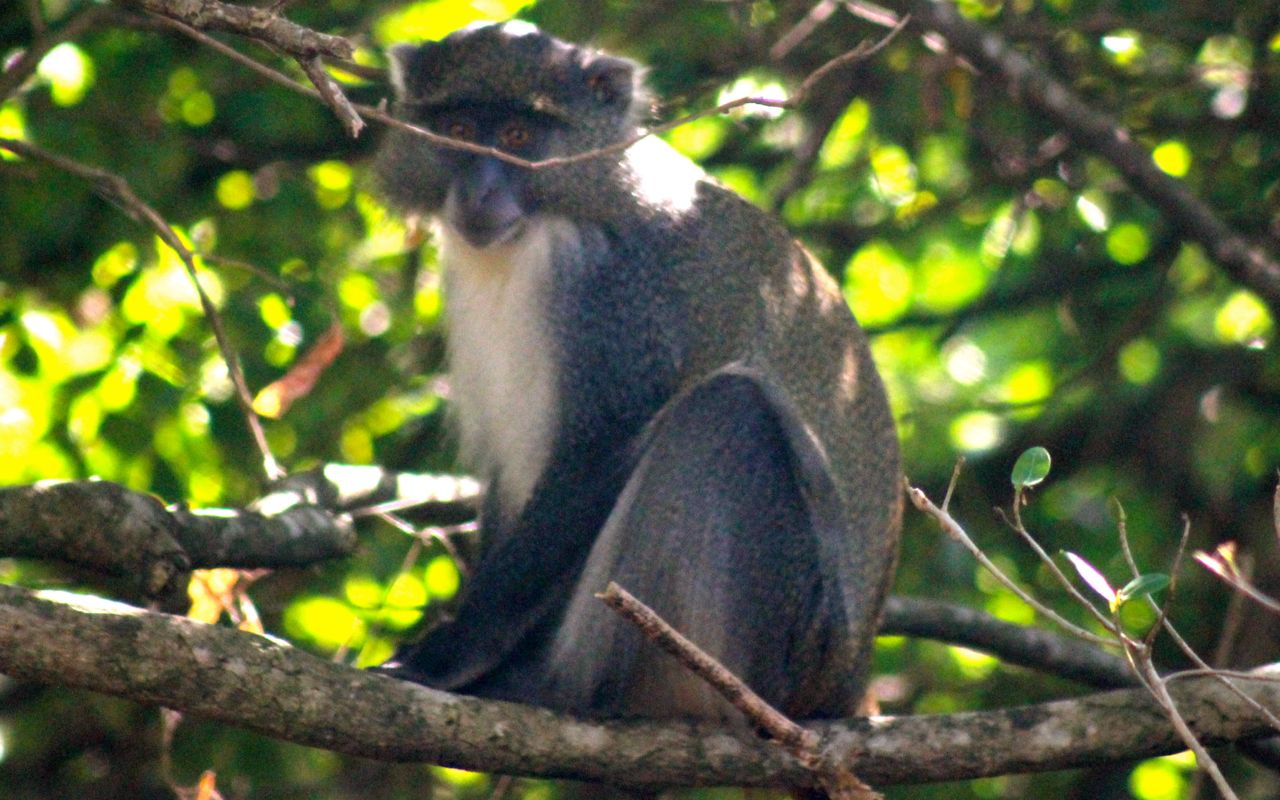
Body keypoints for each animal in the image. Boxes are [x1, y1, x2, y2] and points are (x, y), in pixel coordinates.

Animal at [373, 21, 906, 721]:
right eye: (458, 129)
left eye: (517, 136)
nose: (480, 192)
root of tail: (838, 693)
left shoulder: (616, 293)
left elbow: (595, 453)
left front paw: (450, 653)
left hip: (779, 646)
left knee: (729, 412)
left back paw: (554, 685)